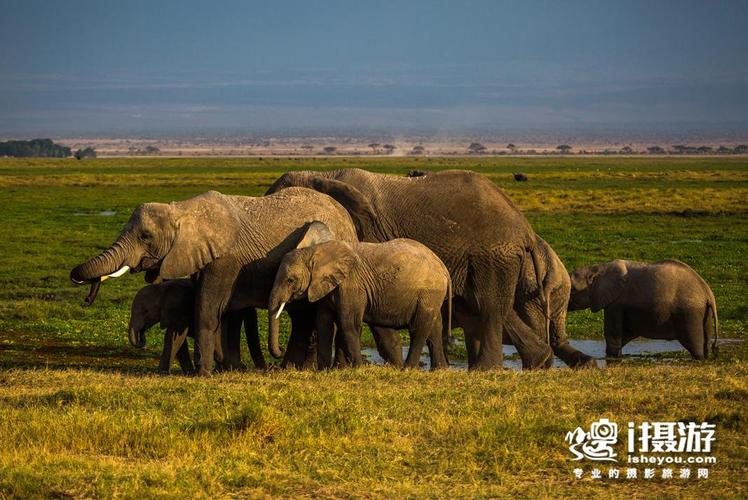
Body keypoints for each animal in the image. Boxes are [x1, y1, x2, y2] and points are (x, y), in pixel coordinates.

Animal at [129, 280, 266, 374]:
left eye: (146, 311)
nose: (142, 337)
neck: (161, 288)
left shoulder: (180, 310)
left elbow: (173, 337)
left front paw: (162, 374)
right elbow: (178, 340)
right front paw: (189, 373)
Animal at [268, 230, 450, 368]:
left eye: (290, 280)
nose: (280, 349)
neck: (315, 251)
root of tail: (442, 266)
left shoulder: (351, 285)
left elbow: (348, 323)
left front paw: (356, 368)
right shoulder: (327, 286)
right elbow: (324, 323)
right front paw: (326, 371)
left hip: (429, 293)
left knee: (418, 330)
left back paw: (408, 369)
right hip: (432, 296)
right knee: (435, 329)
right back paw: (439, 370)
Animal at [568, 258, 720, 360]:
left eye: (573, 290)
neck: (598, 268)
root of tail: (707, 292)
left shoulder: (616, 303)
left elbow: (612, 332)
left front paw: (612, 357)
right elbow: (625, 333)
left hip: (690, 313)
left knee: (694, 344)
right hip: (703, 313)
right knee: (706, 341)